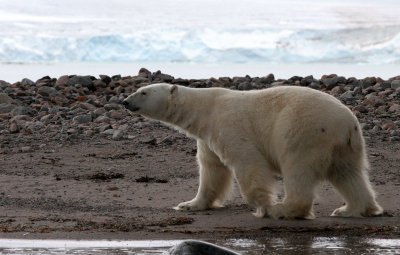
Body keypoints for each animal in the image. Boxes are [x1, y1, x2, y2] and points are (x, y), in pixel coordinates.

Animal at [123, 83, 382, 219]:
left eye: (144, 92)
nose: (125, 101)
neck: (206, 108)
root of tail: (348, 122)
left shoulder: (228, 124)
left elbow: (247, 163)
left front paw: (263, 205)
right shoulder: (207, 137)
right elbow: (211, 170)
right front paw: (189, 204)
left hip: (304, 130)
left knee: (297, 167)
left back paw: (282, 209)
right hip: (345, 145)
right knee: (348, 173)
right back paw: (350, 209)